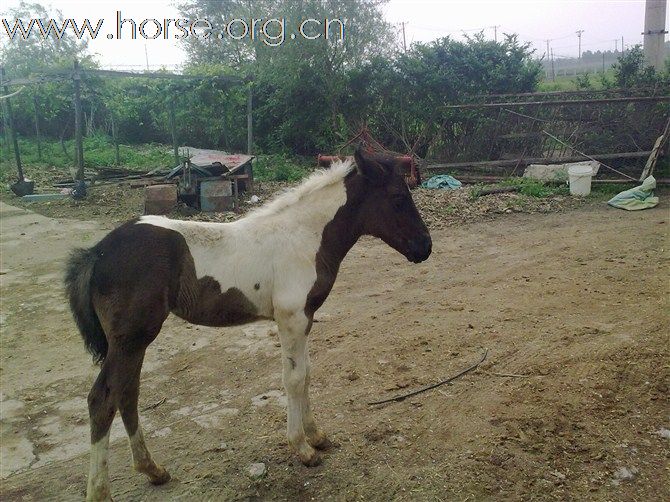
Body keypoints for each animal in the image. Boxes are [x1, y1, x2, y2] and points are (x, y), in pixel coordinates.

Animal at [64, 147, 430, 500]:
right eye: (398, 197)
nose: (425, 247)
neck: (303, 237)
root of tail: (96, 253)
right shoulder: (291, 318)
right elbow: (294, 379)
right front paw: (303, 448)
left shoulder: (305, 319)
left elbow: (307, 374)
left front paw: (317, 435)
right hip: (130, 339)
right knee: (102, 399)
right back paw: (100, 491)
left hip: (134, 342)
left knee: (127, 393)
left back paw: (153, 470)